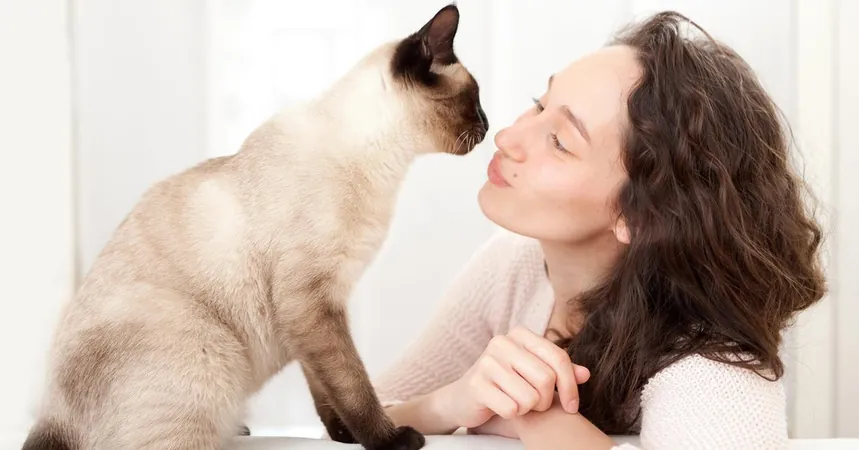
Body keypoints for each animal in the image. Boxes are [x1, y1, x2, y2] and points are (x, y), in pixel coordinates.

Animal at [22, 4, 487, 450]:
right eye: (477, 98)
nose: (486, 126)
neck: (381, 164)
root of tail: (50, 417)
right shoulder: (311, 304)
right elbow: (353, 384)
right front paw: (390, 439)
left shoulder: (316, 314)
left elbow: (327, 391)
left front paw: (342, 437)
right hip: (207, 350)